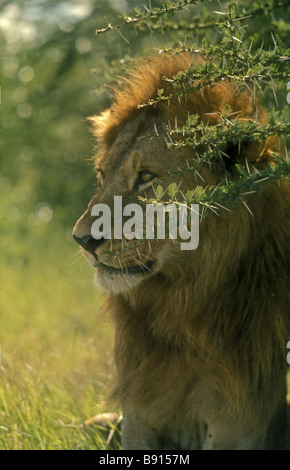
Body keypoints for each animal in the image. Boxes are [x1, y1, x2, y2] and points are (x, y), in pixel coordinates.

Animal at [73, 53, 290, 450]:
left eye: (146, 177)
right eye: (101, 175)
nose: (81, 239)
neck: (181, 304)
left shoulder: (239, 419)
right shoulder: (137, 412)